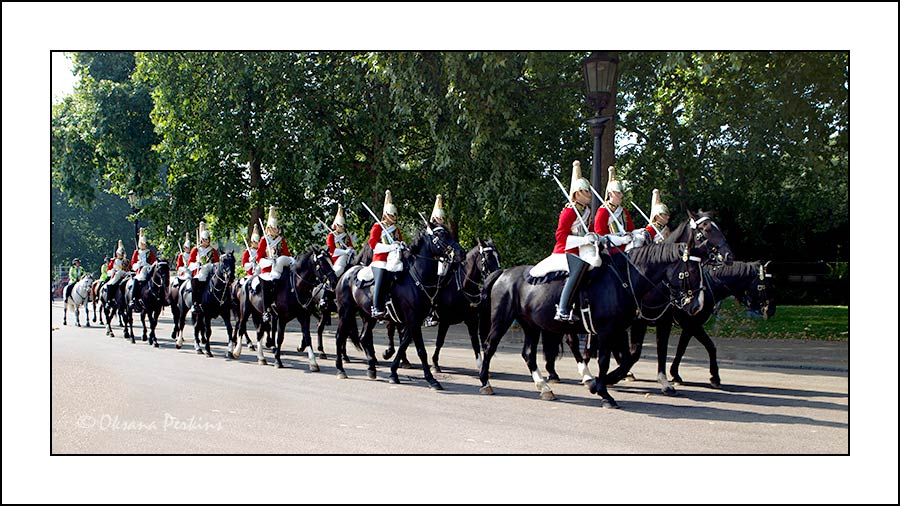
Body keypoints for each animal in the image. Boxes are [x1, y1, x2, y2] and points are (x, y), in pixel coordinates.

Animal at [336, 222, 464, 388]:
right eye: (441, 234)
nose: (462, 253)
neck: (417, 278)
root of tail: (346, 274)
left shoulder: (414, 320)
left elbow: (403, 346)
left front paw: (393, 373)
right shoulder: (412, 320)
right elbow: (421, 350)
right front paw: (431, 379)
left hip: (368, 316)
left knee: (364, 337)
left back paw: (371, 369)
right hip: (346, 312)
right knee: (340, 337)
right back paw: (340, 369)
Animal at [482, 239, 708, 410]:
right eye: (692, 271)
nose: (697, 305)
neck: (623, 281)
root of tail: (504, 273)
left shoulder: (617, 330)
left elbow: (626, 359)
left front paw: (601, 384)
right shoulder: (606, 331)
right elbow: (605, 361)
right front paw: (605, 393)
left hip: (531, 326)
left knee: (528, 354)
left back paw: (544, 388)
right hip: (501, 320)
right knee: (489, 347)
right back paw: (486, 383)